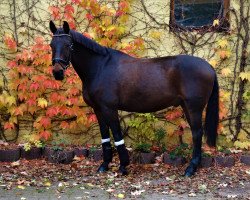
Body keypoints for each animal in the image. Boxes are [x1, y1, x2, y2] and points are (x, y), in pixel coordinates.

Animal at [49, 20, 219, 177]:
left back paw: (191, 169)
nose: (57, 72)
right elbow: (105, 136)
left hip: (194, 107)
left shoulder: (109, 108)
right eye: (51, 45)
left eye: (68, 45)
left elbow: (117, 135)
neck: (100, 67)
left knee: (197, 133)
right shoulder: (98, 109)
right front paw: (104, 165)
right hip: (186, 106)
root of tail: (209, 67)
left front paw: (123, 166)